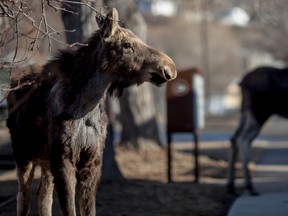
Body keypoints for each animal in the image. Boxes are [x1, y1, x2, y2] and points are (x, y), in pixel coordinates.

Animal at [6, 8, 177, 216]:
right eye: (127, 45)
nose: (169, 68)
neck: (87, 106)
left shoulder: (92, 160)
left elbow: (88, 209)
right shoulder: (64, 159)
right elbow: (70, 209)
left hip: (46, 159)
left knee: (43, 196)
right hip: (23, 153)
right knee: (23, 197)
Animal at [227, 66, 288, 196]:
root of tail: (242, 83)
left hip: (246, 111)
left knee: (234, 138)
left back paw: (231, 186)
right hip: (260, 112)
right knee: (243, 139)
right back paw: (249, 186)